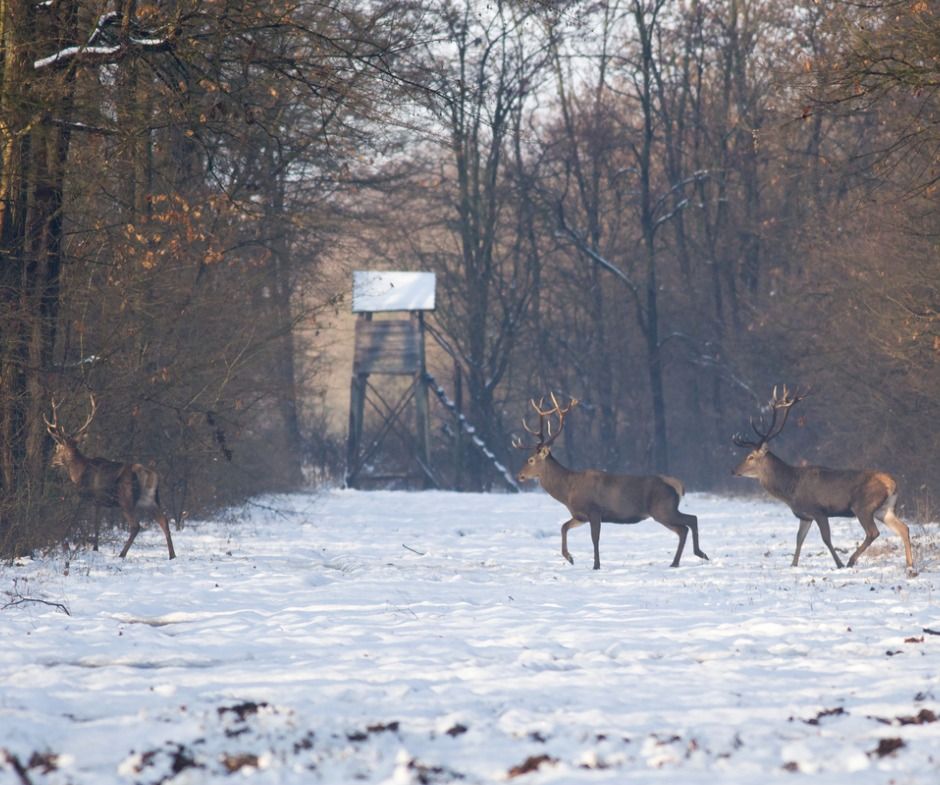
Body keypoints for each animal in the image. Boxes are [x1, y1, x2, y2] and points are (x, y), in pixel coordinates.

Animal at [44, 398, 177, 556]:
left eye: (58, 447)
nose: (52, 461)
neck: (79, 472)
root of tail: (149, 475)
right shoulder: (100, 501)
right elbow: (96, 524)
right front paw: (94, 547)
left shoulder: (91, 497)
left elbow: (90, 523)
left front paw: (91, 547)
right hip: (149, 499)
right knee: (164, 520)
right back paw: (172, 555)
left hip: (126, 499)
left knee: (136, 525)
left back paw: (122, 554)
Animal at [516, 392, 704, 568]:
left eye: (531, 460)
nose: (519, 475)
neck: (568, 491)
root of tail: (677, 485)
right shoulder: (580, 515)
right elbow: (564, 527)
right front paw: (570, 558)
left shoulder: (594, 510)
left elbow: (595, 538)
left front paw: (596, 565)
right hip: (663, 511)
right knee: (684, 528)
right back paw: (680, 561)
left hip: (663, 508)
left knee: (690, 521)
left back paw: (696, 554)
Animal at [732, 384, 916, 568]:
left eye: (750, 457)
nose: (733, 471)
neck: (790, 488)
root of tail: (892, 484)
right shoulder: (805, 516)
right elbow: (799, 539)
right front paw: (793, 565)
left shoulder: (818, 510)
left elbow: (826, 538)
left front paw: (839, 564)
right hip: (884, 509)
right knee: (904, 528)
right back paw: (910, 565)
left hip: (863, 506)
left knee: (873, 532)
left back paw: (850, 561)